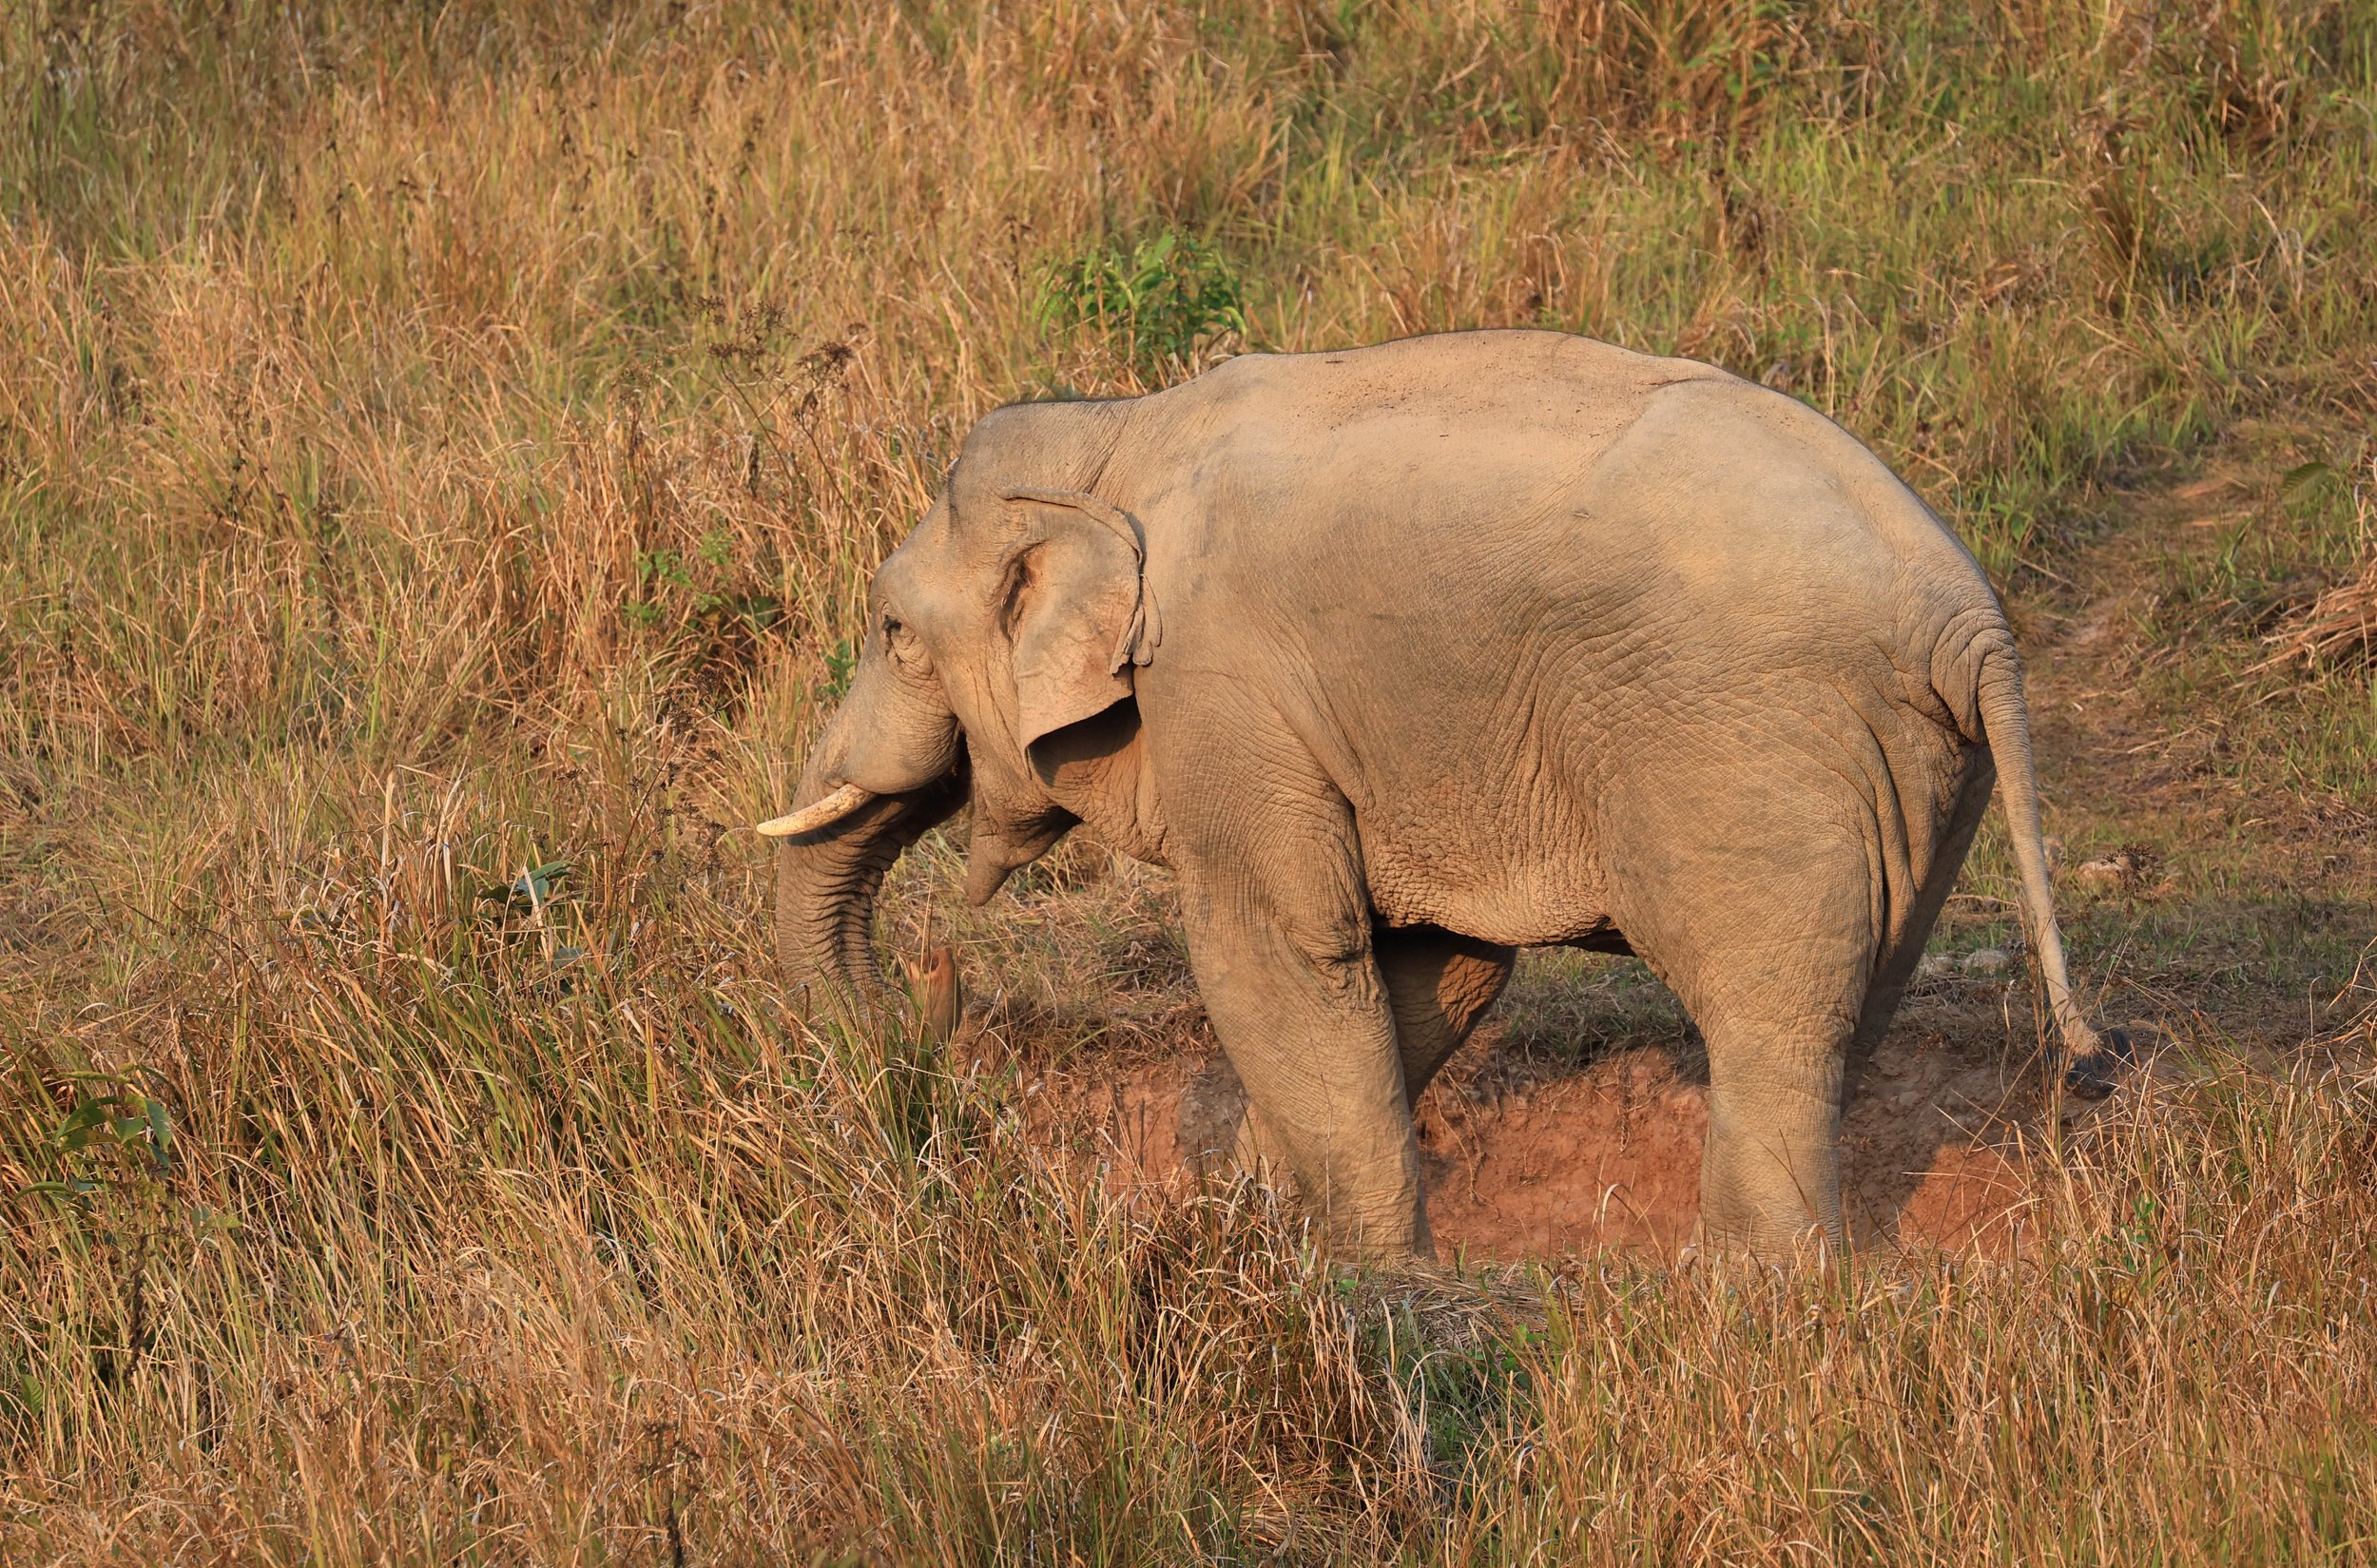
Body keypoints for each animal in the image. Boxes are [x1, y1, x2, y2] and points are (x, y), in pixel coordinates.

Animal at [758, 329, 2119, 1262]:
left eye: (892, 631)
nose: (929, 985)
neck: (1114, 438)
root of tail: (1968, 617)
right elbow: (1434, 971)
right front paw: (1251, 1221)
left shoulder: (1221, 686)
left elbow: (1280, 951)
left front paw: (1365, 1267)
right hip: (1921, 767)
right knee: (1854, 1007)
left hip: (1746, 747)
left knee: (1770, 1024)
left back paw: (1752, 1287)